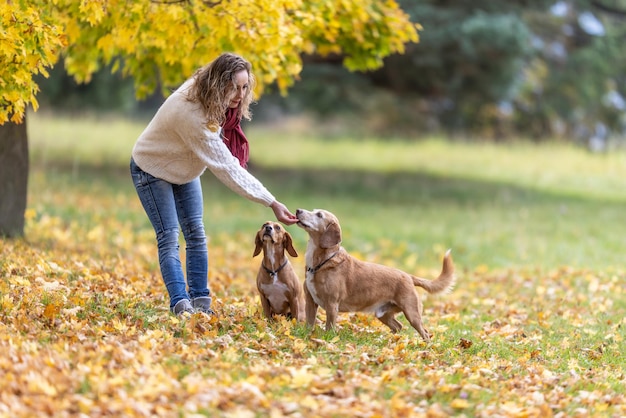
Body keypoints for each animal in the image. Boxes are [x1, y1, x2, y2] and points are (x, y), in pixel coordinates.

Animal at [292, 207, 454, 342]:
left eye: (319, 215)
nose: (298, 210)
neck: (322, 262)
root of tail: (409, 276)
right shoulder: (310, 301)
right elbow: (309, 323)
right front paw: (306, 335)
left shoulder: (332, 304)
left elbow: (329, 327)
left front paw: (328, 340)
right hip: (383, 314)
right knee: (398, 326)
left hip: (412, 313)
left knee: (425, 332)